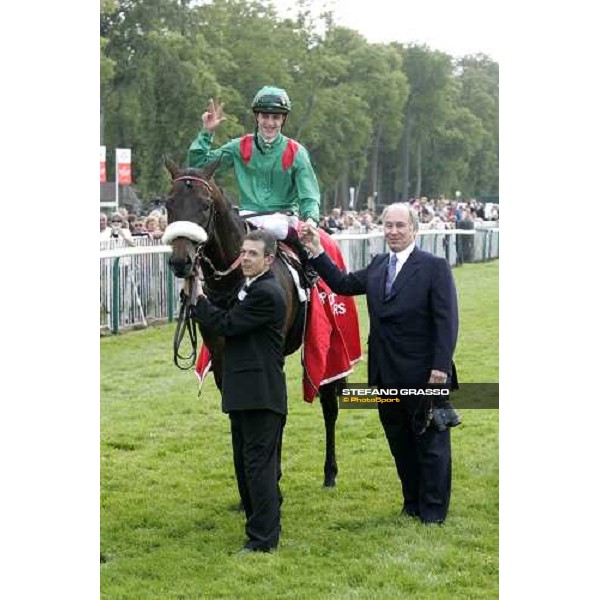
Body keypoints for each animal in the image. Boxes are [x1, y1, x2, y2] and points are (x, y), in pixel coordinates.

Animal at [164, 159, 340, 488]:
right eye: (168, 203)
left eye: (206, 205)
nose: (181, 261)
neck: (234, 279)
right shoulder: (222, 357)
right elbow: (238, 411)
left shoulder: (273, 350)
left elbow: (274, 411)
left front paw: (272, 472)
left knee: (330, 405)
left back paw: (330, 472)